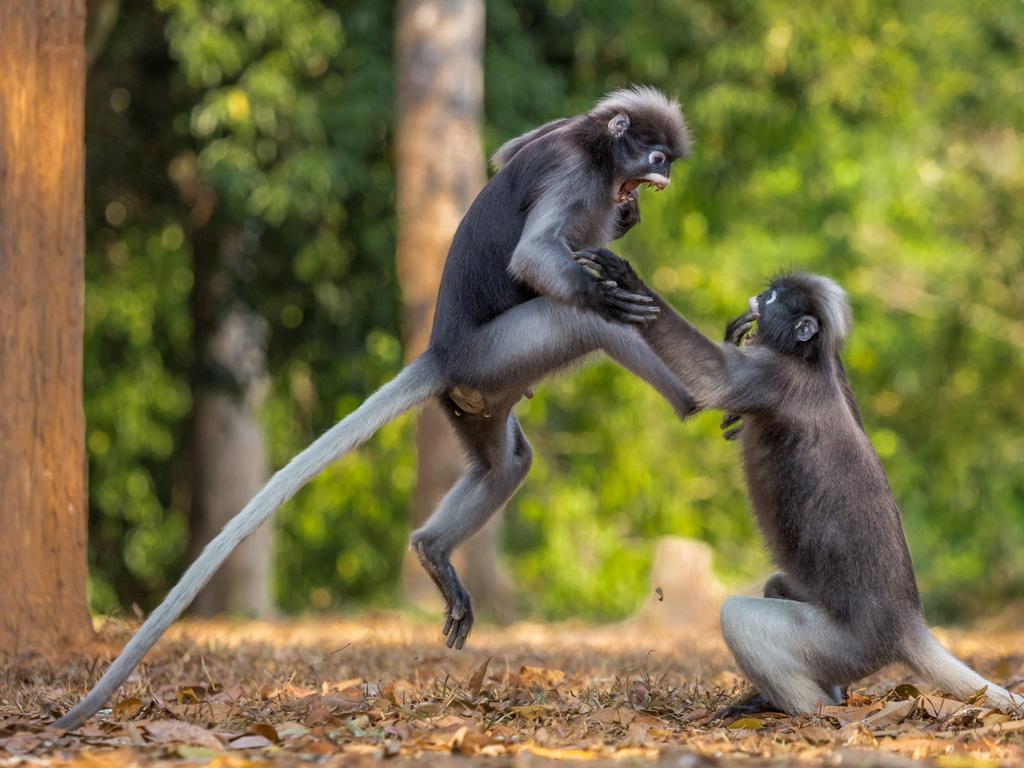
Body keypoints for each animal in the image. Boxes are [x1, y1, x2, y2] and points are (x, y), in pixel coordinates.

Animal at [54, 87, 694, 729]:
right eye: (657, 155)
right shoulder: (573, 170)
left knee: (506, 463)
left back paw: (433, 550)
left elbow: (507, 153)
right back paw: (691, 397)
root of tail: (439, 354)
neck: (596, 148)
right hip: (500, 355)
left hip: (478, 396)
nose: (660, 179)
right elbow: (535, 257)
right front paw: (611, 271)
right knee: (582, 321)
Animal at [576, 248, 1022, 716]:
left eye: (774, 297)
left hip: (844, 647)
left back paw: (807, 711)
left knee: (738, 616)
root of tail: (907, 625)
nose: (757, 296)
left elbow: (712, 379)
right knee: (776, 586)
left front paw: (627, 280)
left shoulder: (773, 377)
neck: (808, 363)